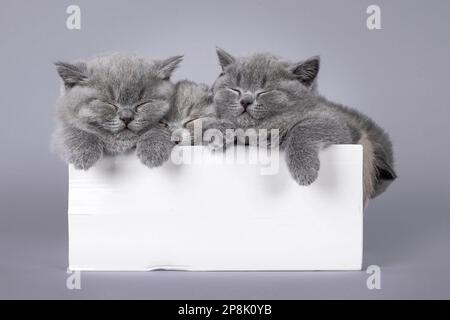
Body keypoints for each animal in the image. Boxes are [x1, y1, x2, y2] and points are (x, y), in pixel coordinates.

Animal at [53, 53, 184, 170]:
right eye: (108, 103)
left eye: (142, 103)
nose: (127, 117)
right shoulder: (60, 130)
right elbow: (72, 130)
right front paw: (83, 153)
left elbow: (160, 128)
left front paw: (153, 150)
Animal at [213, 48, 396, 202]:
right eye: (235, 89)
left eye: (266, 91)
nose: (245, 101)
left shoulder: (338, 124)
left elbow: (304, 128)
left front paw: (305, 170)